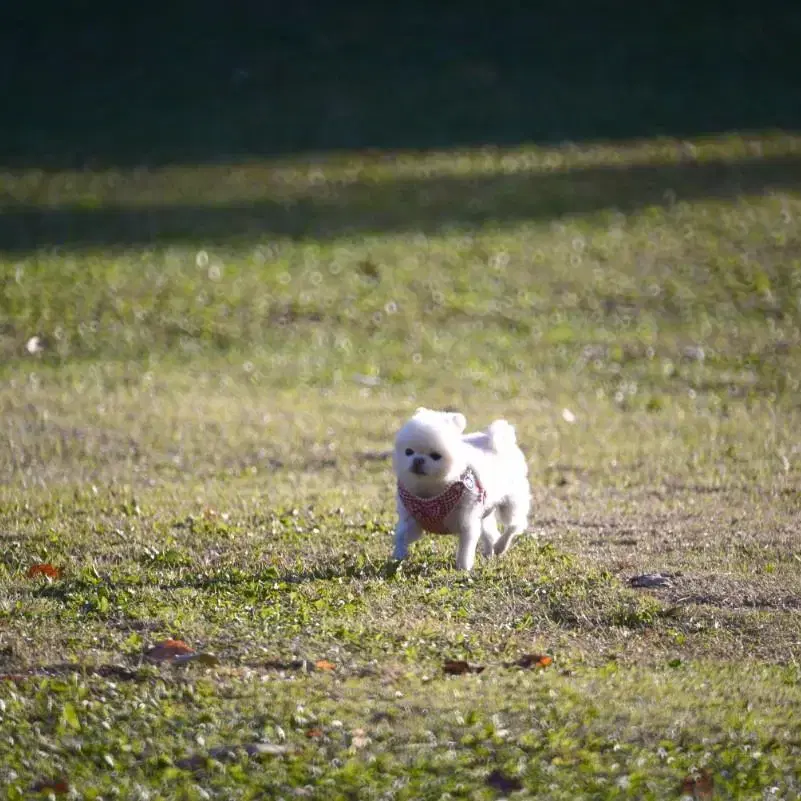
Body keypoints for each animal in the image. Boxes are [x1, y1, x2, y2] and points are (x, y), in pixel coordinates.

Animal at [392, 410, 532, 572]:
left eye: (436, 456)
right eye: (408, 452)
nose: (418, 460)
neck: (431, 493)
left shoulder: (467, 520)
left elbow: (466, 546)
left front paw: (463, 568)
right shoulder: (412, 519)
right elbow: (401, 534)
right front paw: (398, 555)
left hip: (511, 501)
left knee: (515, 524)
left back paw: (500, 546)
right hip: (484, 512)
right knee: (491, 532)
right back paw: (490, 552)